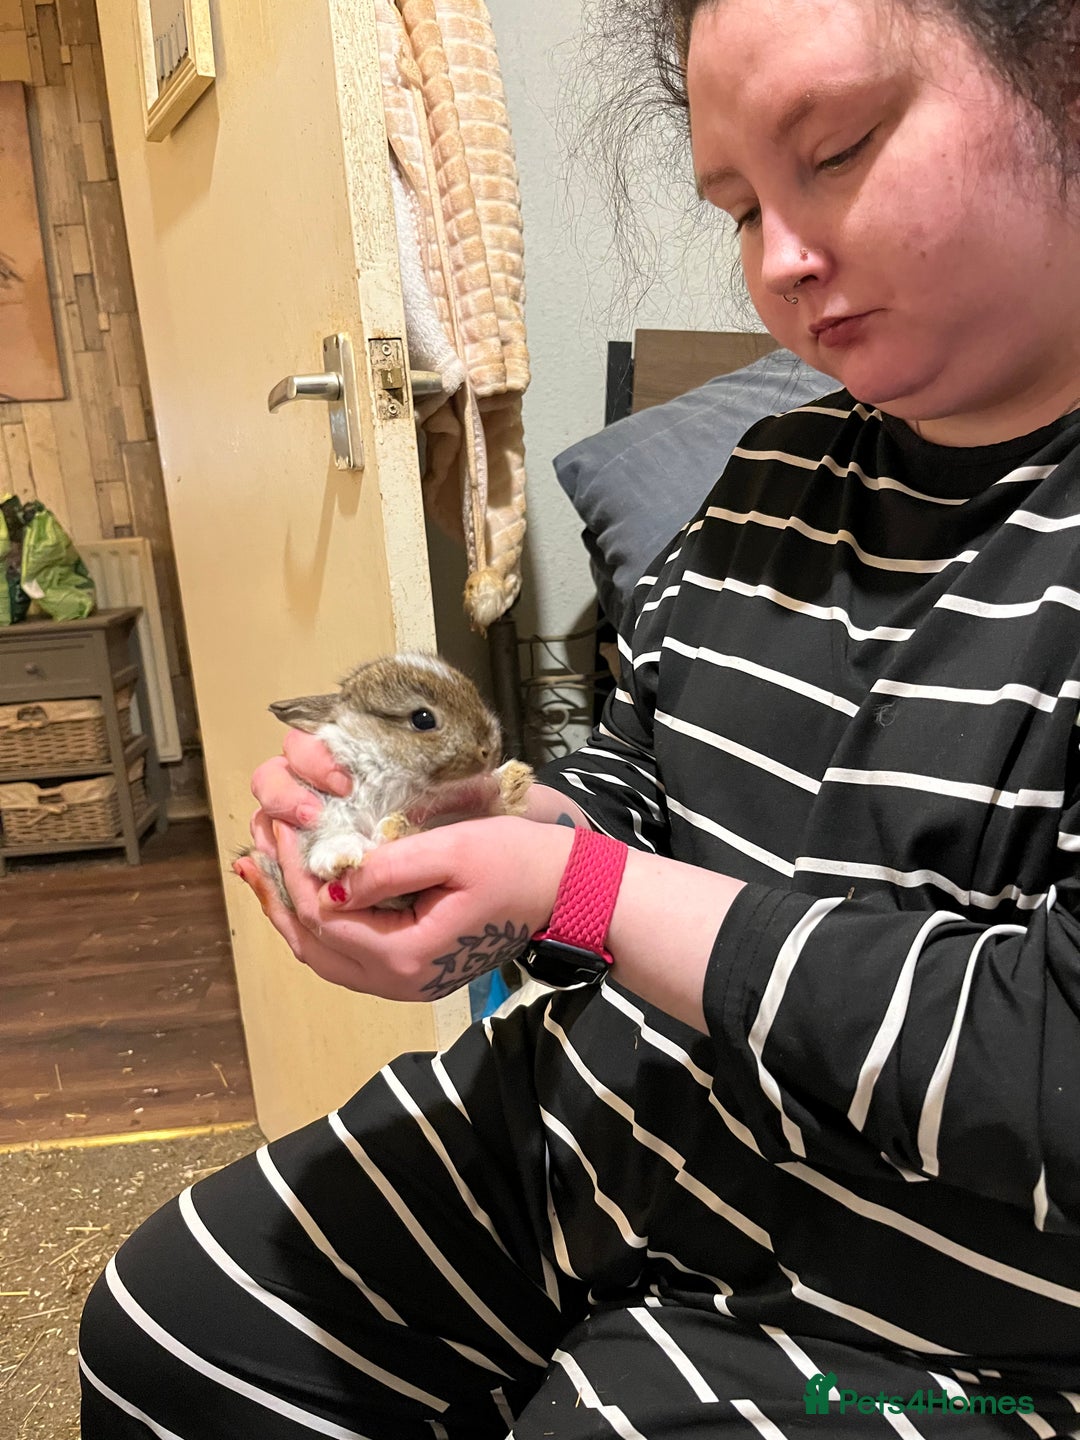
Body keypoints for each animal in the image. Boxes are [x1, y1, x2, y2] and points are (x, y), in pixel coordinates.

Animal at [240, 652, 533, 912]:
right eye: (423, 719)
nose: (490, 750)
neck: (389, 774)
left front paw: (514, 779)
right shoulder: (322, 811)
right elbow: (331, 837)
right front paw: (341, 857)